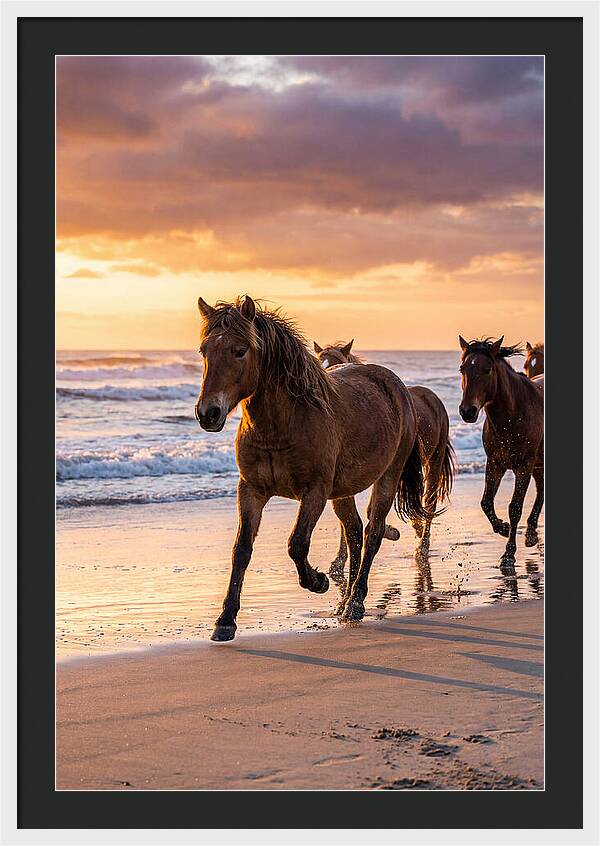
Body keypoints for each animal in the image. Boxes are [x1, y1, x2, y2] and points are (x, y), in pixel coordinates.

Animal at [195, 295, 431, 640]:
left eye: (240, 350)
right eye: (204, 351)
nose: (207, 413)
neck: (283, 423)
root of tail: (399, 388)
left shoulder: (314, 492)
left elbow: (296, 544)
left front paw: (318, 582)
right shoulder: (251, 490)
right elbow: (242, 550)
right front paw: (225, 620)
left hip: (387, 478)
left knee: (372, 533)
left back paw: (355, 603)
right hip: (342, 492)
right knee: (354, 533)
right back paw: (345, 603)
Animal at [314, 340, 455, 560]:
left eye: (337, 361)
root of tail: (432, 397)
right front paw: (339, 560)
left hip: (434, 461)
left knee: (429, 502)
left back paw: (422, 546)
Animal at [458, 336, 544, 564]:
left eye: (487, 369)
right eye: (462, 369)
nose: (467, 411)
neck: (512, 414)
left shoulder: (523, 466)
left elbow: (514, 508)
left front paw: (508, 553)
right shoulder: (495, 464)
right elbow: (486, 502)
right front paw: (503, 528)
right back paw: (531, 533)